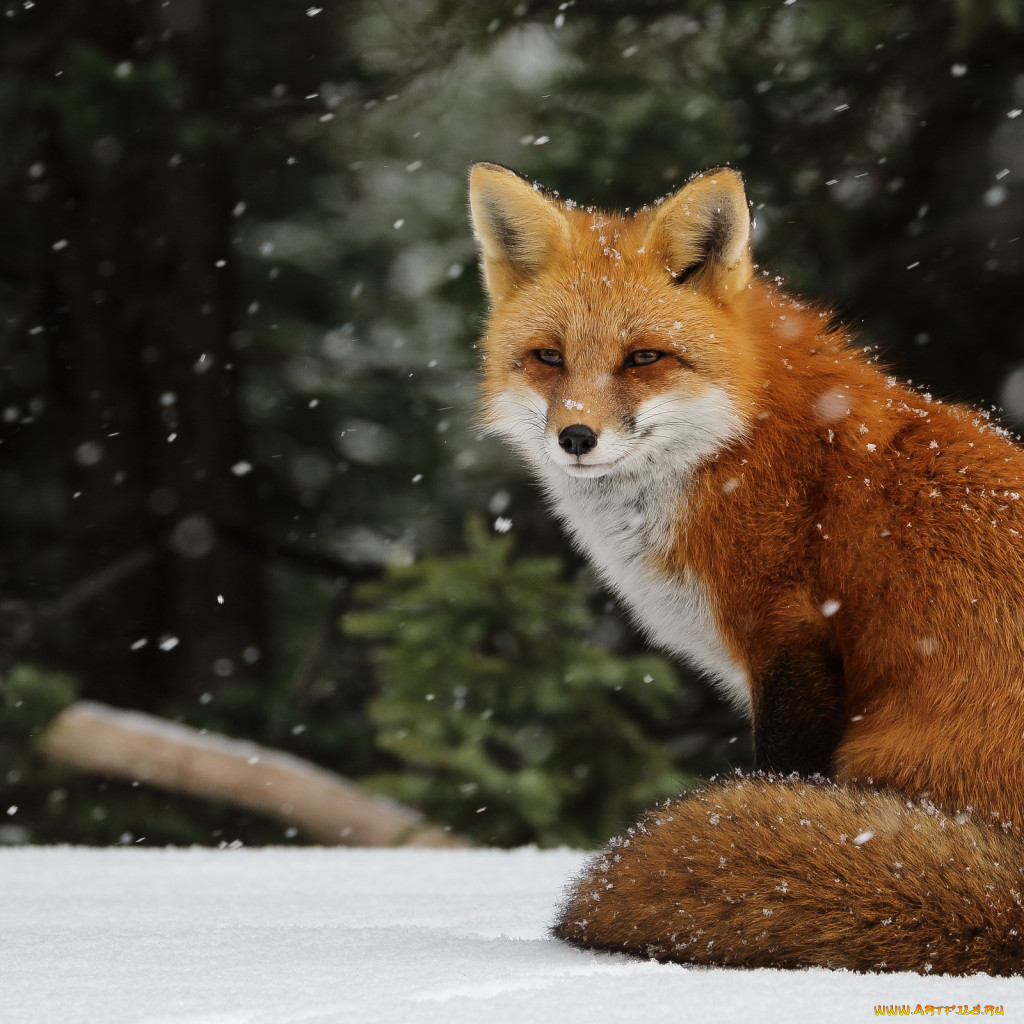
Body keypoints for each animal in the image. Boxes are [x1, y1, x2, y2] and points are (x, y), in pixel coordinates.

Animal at [473, 161, 1024, 974]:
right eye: (549, 356)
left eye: (644, 358)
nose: (576, 437)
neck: (736, 443)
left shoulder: (790, 640)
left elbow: (780, 773)